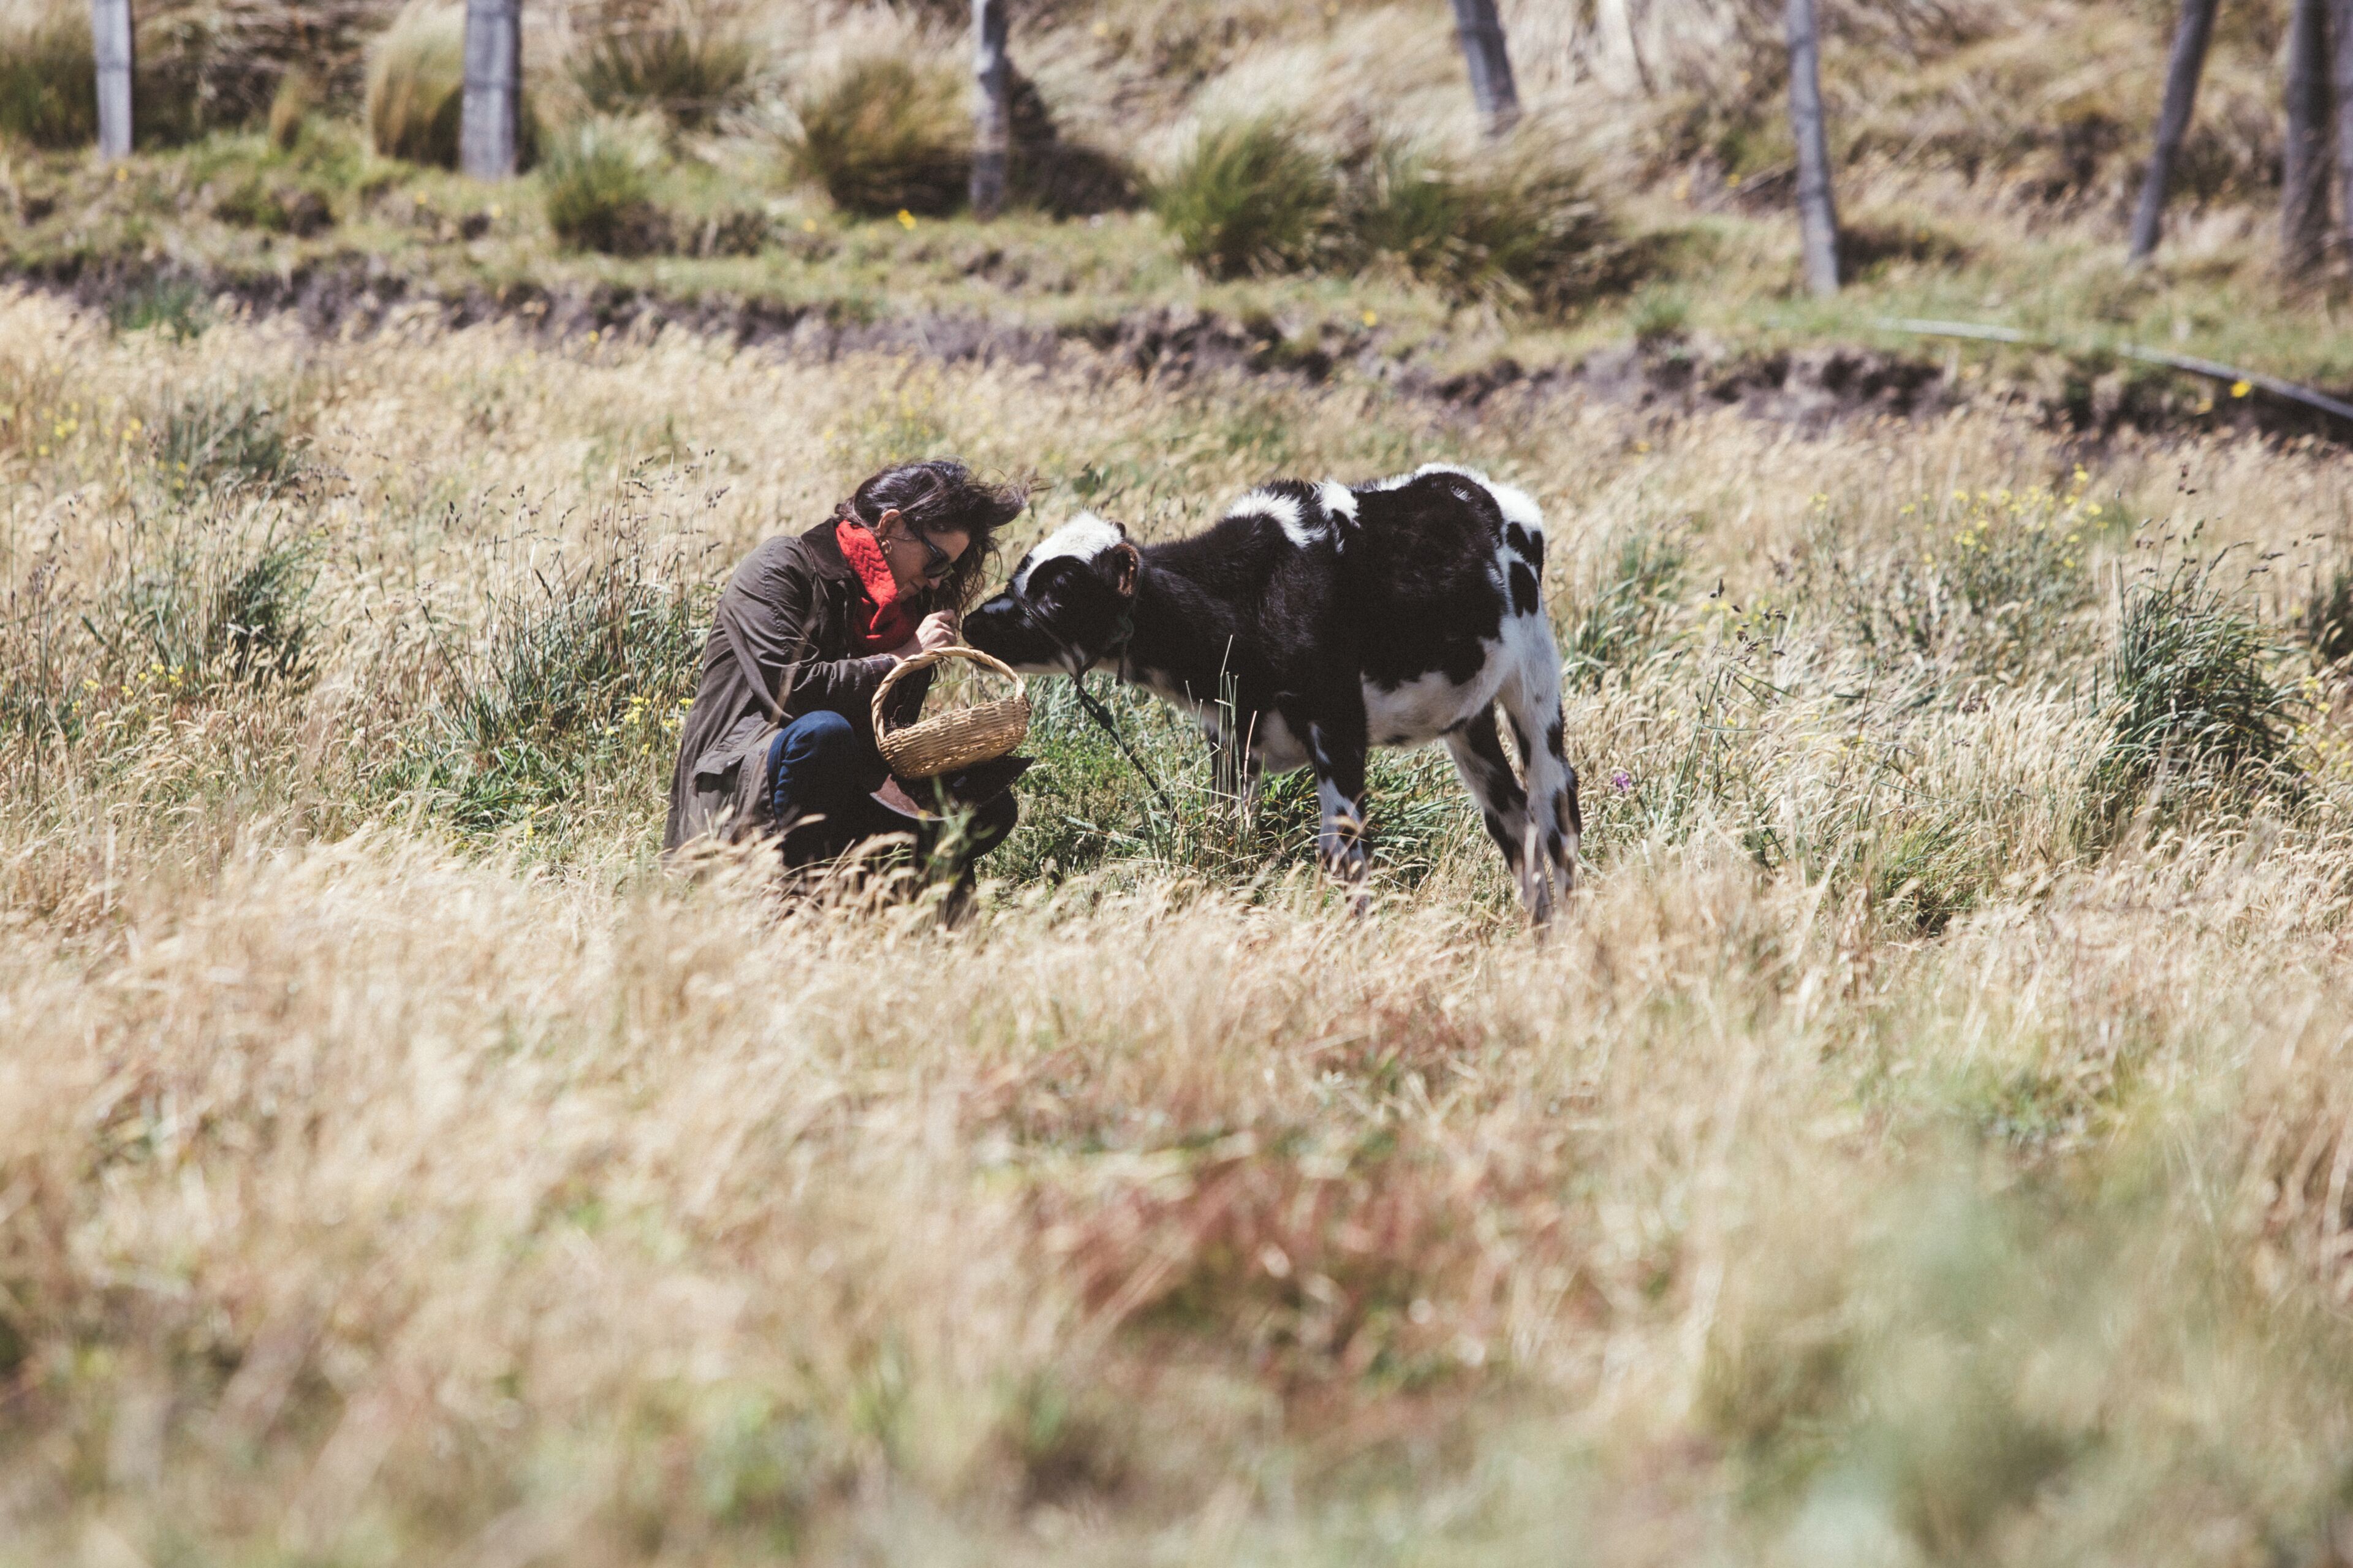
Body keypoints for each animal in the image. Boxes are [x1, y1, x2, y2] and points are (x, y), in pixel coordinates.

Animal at [962, 463, 1580, 920]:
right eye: (1019, 573)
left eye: (1060, 592)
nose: (972, 622)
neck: (1250, 601)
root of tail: (1483, 489)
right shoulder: (1231, 735)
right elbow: (1225, 837)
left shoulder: (1339, 723)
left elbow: (1343, 852)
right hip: (1468, 720)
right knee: (1512, 817)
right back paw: (1538, 933)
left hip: (1535, 687)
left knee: (1555, 809)